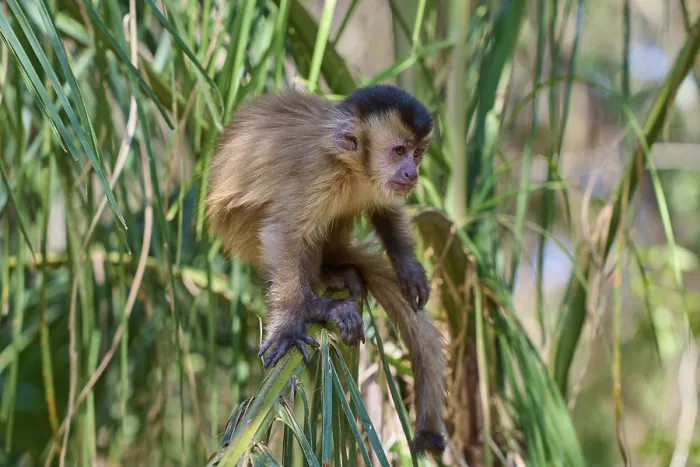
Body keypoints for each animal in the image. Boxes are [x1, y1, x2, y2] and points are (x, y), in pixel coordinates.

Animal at [205, 84, 446, 456]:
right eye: (399, 151)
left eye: (417, 153)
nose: (412, 172)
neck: (353, 167)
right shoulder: (319, 174)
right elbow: (284, 233)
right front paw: (289, 324)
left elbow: (385, 209)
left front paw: (408, 268)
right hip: (236, 228)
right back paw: (320, 301)